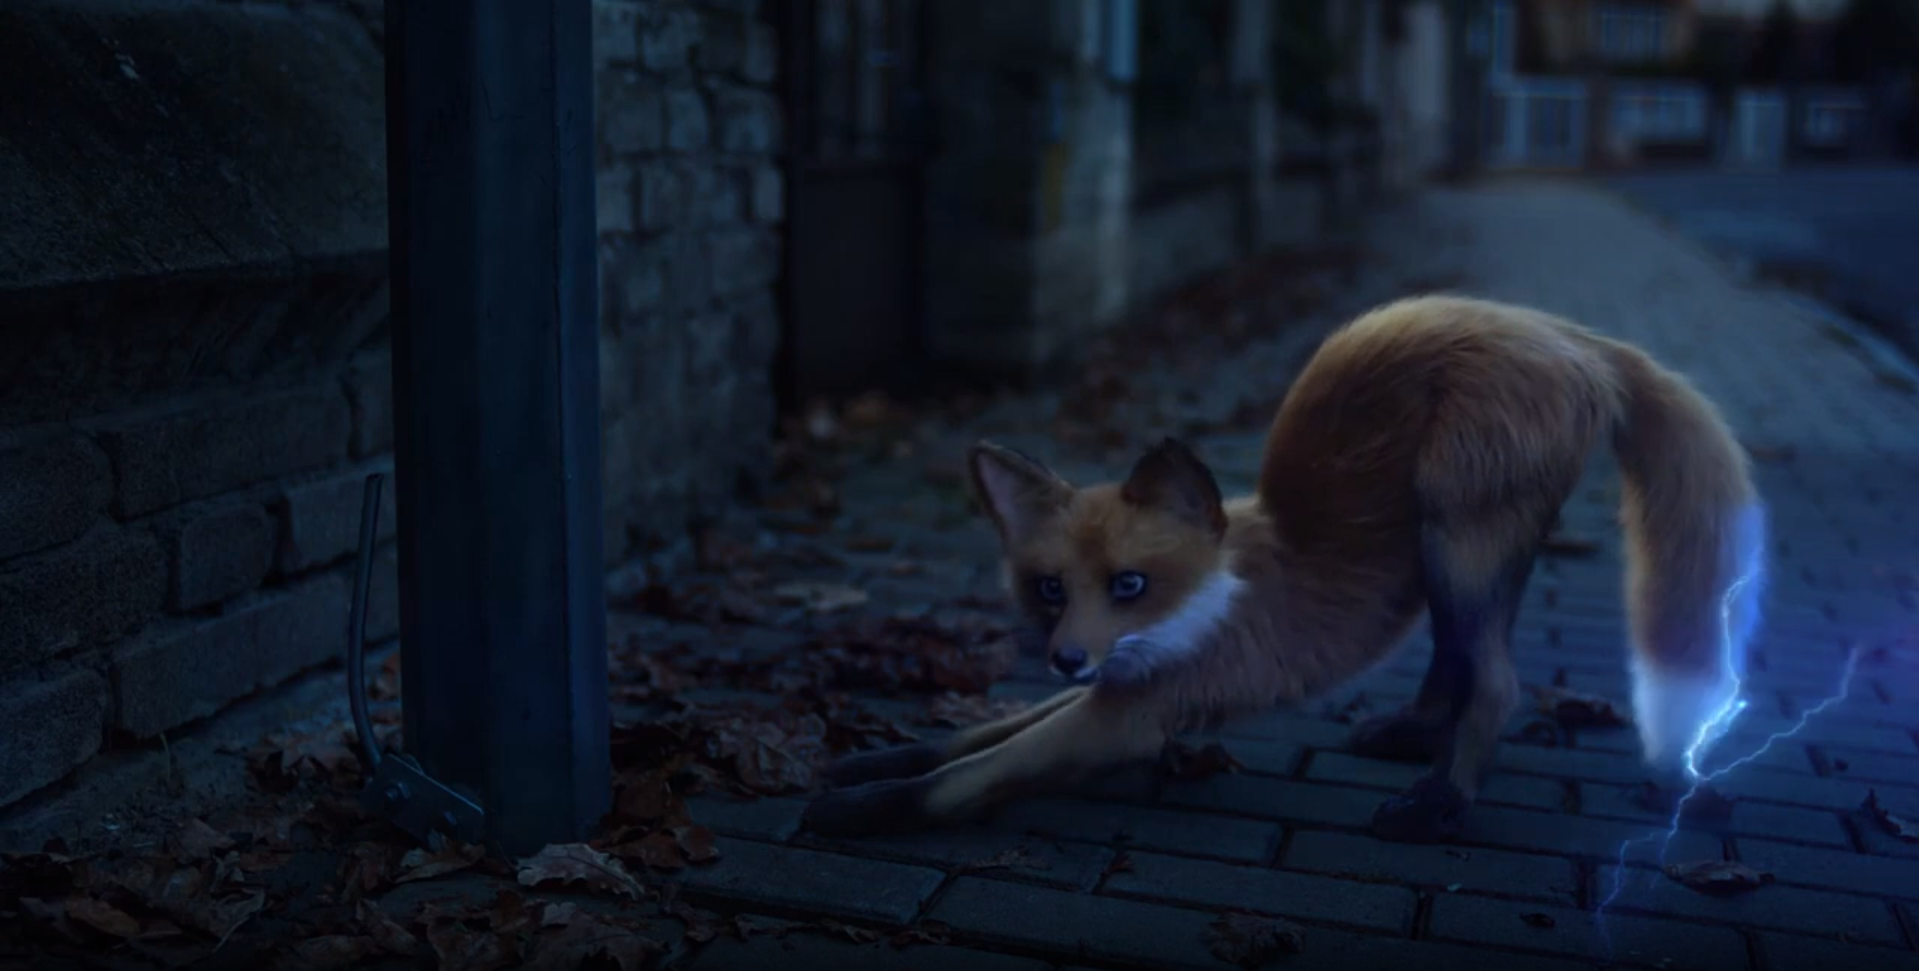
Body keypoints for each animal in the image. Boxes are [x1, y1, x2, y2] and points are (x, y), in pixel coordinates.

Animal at [799, 294, 1765, 844]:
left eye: (1128, 584)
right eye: (1048, 589)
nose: (1066, 655)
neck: (1209, 599)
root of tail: (1574, 339)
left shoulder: (1132, 714)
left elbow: (964, 778)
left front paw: (864, 807)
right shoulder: (1116, 685)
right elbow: (976, 735)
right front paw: (872, 761)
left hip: (1457, 536)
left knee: (1496, 681)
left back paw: (1440, 803)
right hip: (1452, 557)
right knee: (1456, 660)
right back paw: (1412, 736)